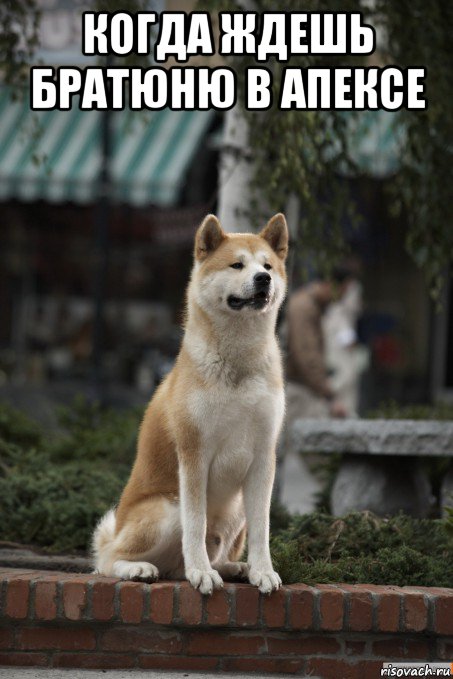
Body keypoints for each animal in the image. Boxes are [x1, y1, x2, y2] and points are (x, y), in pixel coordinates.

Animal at [93, 212, 288, 596]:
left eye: (268, 266)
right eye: (237, 264)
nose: (263, 279)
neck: (237, 364)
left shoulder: (263, 457)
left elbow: (263, 530)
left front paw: (263, 571)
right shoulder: (194, 454)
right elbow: (195, 526)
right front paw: (201, 573)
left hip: (236, 509)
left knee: (203, 558)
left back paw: (235, 568)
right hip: (167, 508)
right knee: (107, 560)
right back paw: (142, 568)